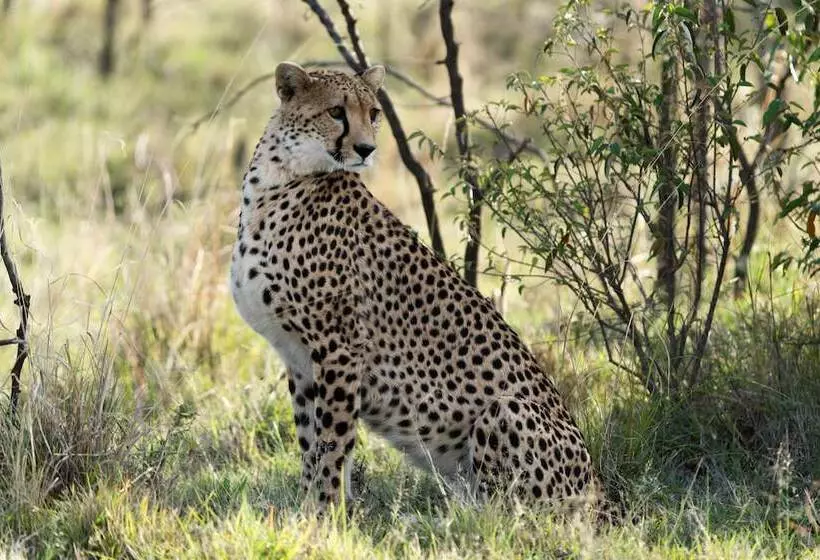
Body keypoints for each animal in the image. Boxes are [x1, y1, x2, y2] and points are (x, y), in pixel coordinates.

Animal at [230, 61, 616, 521]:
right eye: (336, 111)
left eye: (373, 112)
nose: (365, 149)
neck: (280, 176)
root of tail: (602, 490)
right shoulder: (300, 358)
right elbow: (310, 443)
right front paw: (308, 513)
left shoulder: (340, 348)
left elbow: (333, 443)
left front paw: (324, 514)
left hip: (506, 410)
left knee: (514, 517)